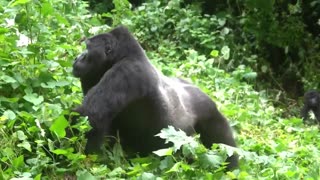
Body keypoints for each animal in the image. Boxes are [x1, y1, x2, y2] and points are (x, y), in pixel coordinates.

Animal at [72, 26, 238, 169]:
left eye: (87, 48)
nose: (77, 57)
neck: (124, 55)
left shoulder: (126, 72)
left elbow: (91, 115)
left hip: (205, 116)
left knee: (223, 143)